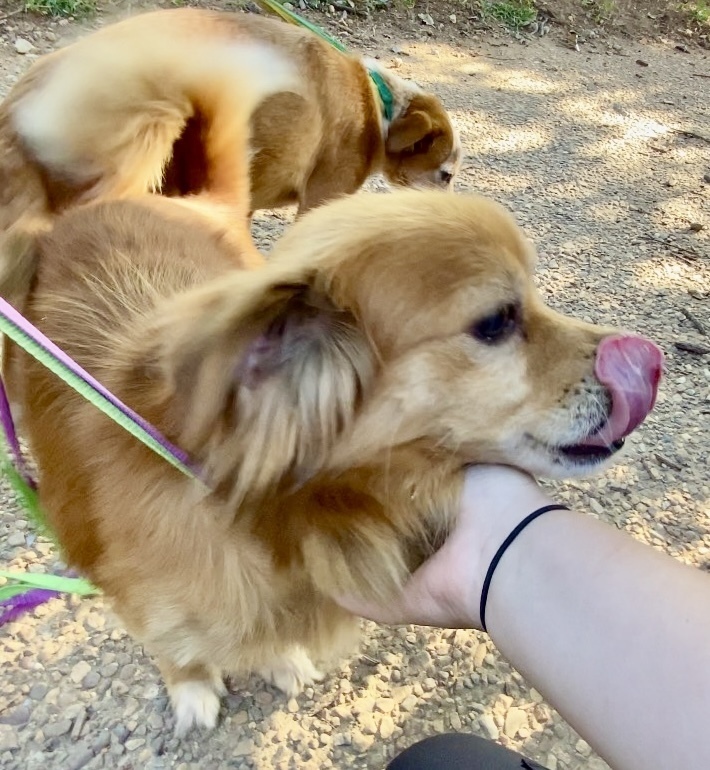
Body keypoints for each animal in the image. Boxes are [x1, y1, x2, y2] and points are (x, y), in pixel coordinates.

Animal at [2, 189, 664, 728]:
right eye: (498, 320)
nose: (651, 361)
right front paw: (190, 687)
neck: (283, 516)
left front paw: (279, 657)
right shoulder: (139, 596)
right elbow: (175, 644)